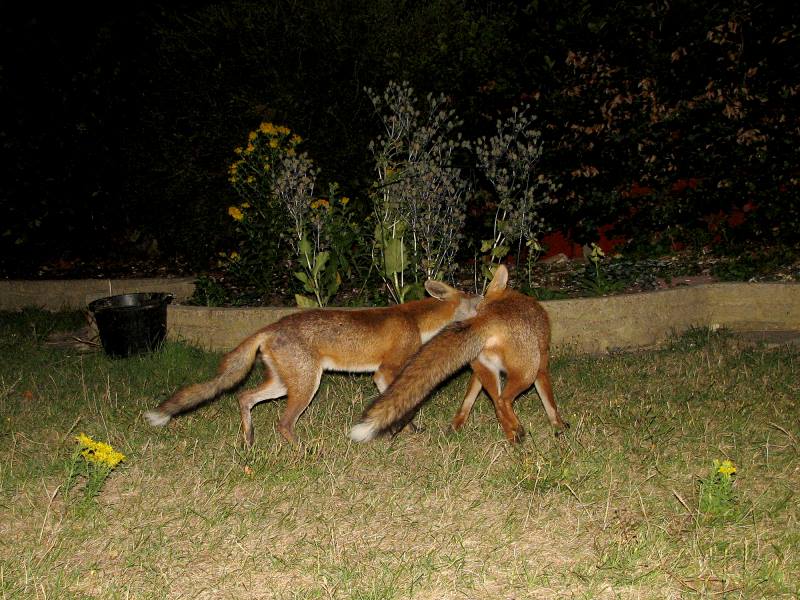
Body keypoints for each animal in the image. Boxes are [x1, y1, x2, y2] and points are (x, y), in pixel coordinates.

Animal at [143, 280, 482, 446]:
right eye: (476, 301)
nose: (486, 304)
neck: (416, 320)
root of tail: (270, 327)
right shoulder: (386, 371)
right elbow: (403, 404)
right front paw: (400, 430)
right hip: (306, 386)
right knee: (282, 423)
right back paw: (303, 452)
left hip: (284, 384)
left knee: (244, 397)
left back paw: (250, 440)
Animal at [348, 265, 569, 444]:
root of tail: (484, 319)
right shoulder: (541, 367)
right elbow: (550, 404)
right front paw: (559, 426)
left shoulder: (478, 372)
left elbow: (467, 402)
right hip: (526, 373)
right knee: (502, 401)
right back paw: (517, 433)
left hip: (489, 370)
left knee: (498, 405)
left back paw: (512, 436)